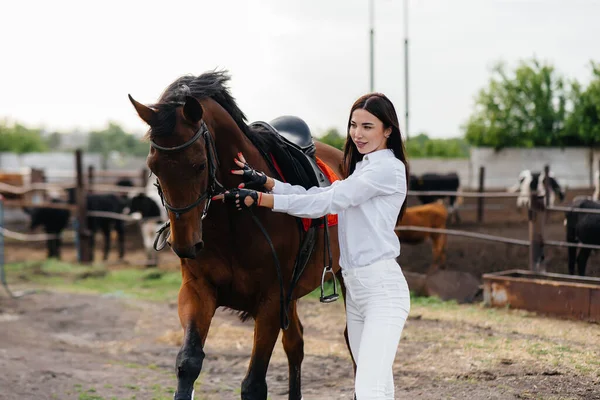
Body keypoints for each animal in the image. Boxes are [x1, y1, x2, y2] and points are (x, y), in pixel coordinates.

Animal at [127, 72, 352, 400]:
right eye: (153, 167)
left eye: (199, 164)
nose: (185, 244)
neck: (236, 220)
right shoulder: (198, 290)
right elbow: (188, 363)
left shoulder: (270, 301)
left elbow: (254, 384)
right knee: (295, 345)